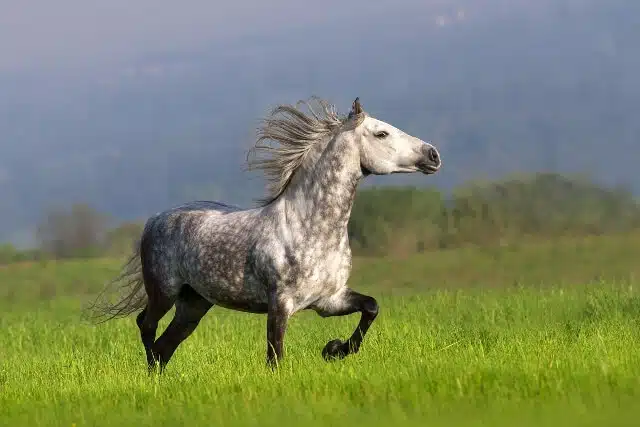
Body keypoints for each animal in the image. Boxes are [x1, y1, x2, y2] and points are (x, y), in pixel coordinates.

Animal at [87, 97, 440, 372]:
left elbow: (371, 307)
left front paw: (335, 349)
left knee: (165, 345)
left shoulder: (329, 300)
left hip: (194, 304)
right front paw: (329, 351)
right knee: (146, 326)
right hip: (164, 291)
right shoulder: (280, 303)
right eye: (381, 133)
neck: (310, 228)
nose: (433, 154)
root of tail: (154, 220)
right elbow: (275, 357)